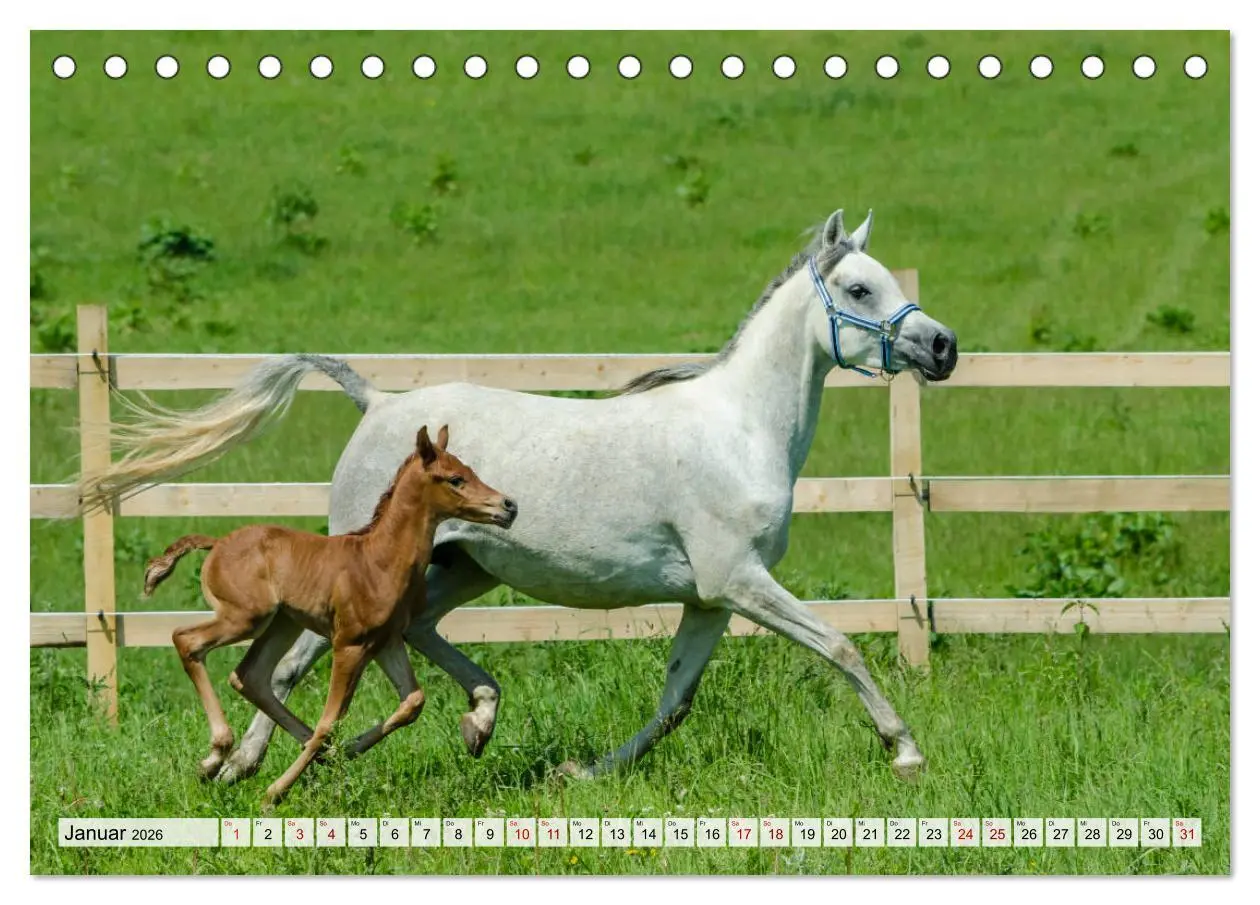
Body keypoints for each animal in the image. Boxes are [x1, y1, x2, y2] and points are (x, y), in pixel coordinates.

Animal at [141, 425, 517, 804]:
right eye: (456, 479)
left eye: (470, 470)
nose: (509, 506)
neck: (379, 561)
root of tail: (216, 543)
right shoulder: (349, 643)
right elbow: (330, 721)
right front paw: (274, 793)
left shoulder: (386, 640)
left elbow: (412, 701)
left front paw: (345, 751)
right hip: (246, 618)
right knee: (187, 640)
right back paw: (216, 757)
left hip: (282, 623)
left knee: (250, 675)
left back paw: (306, 756)